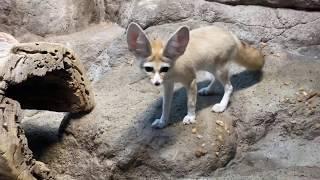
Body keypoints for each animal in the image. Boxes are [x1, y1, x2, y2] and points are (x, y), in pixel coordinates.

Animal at [126, 22, 264, 129]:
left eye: (164, 69)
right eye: (148, 69)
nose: (156, 83)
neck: (173, 70)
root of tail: (232, 34)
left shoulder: (191, 80)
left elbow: (191, 102)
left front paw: (191, 117)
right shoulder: (168, 84)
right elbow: (165, 106)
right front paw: (162, 121)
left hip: (219, 69)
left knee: (229, 87)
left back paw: (222, 105)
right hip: (211, 66)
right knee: (216, 79)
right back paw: (208, 90)